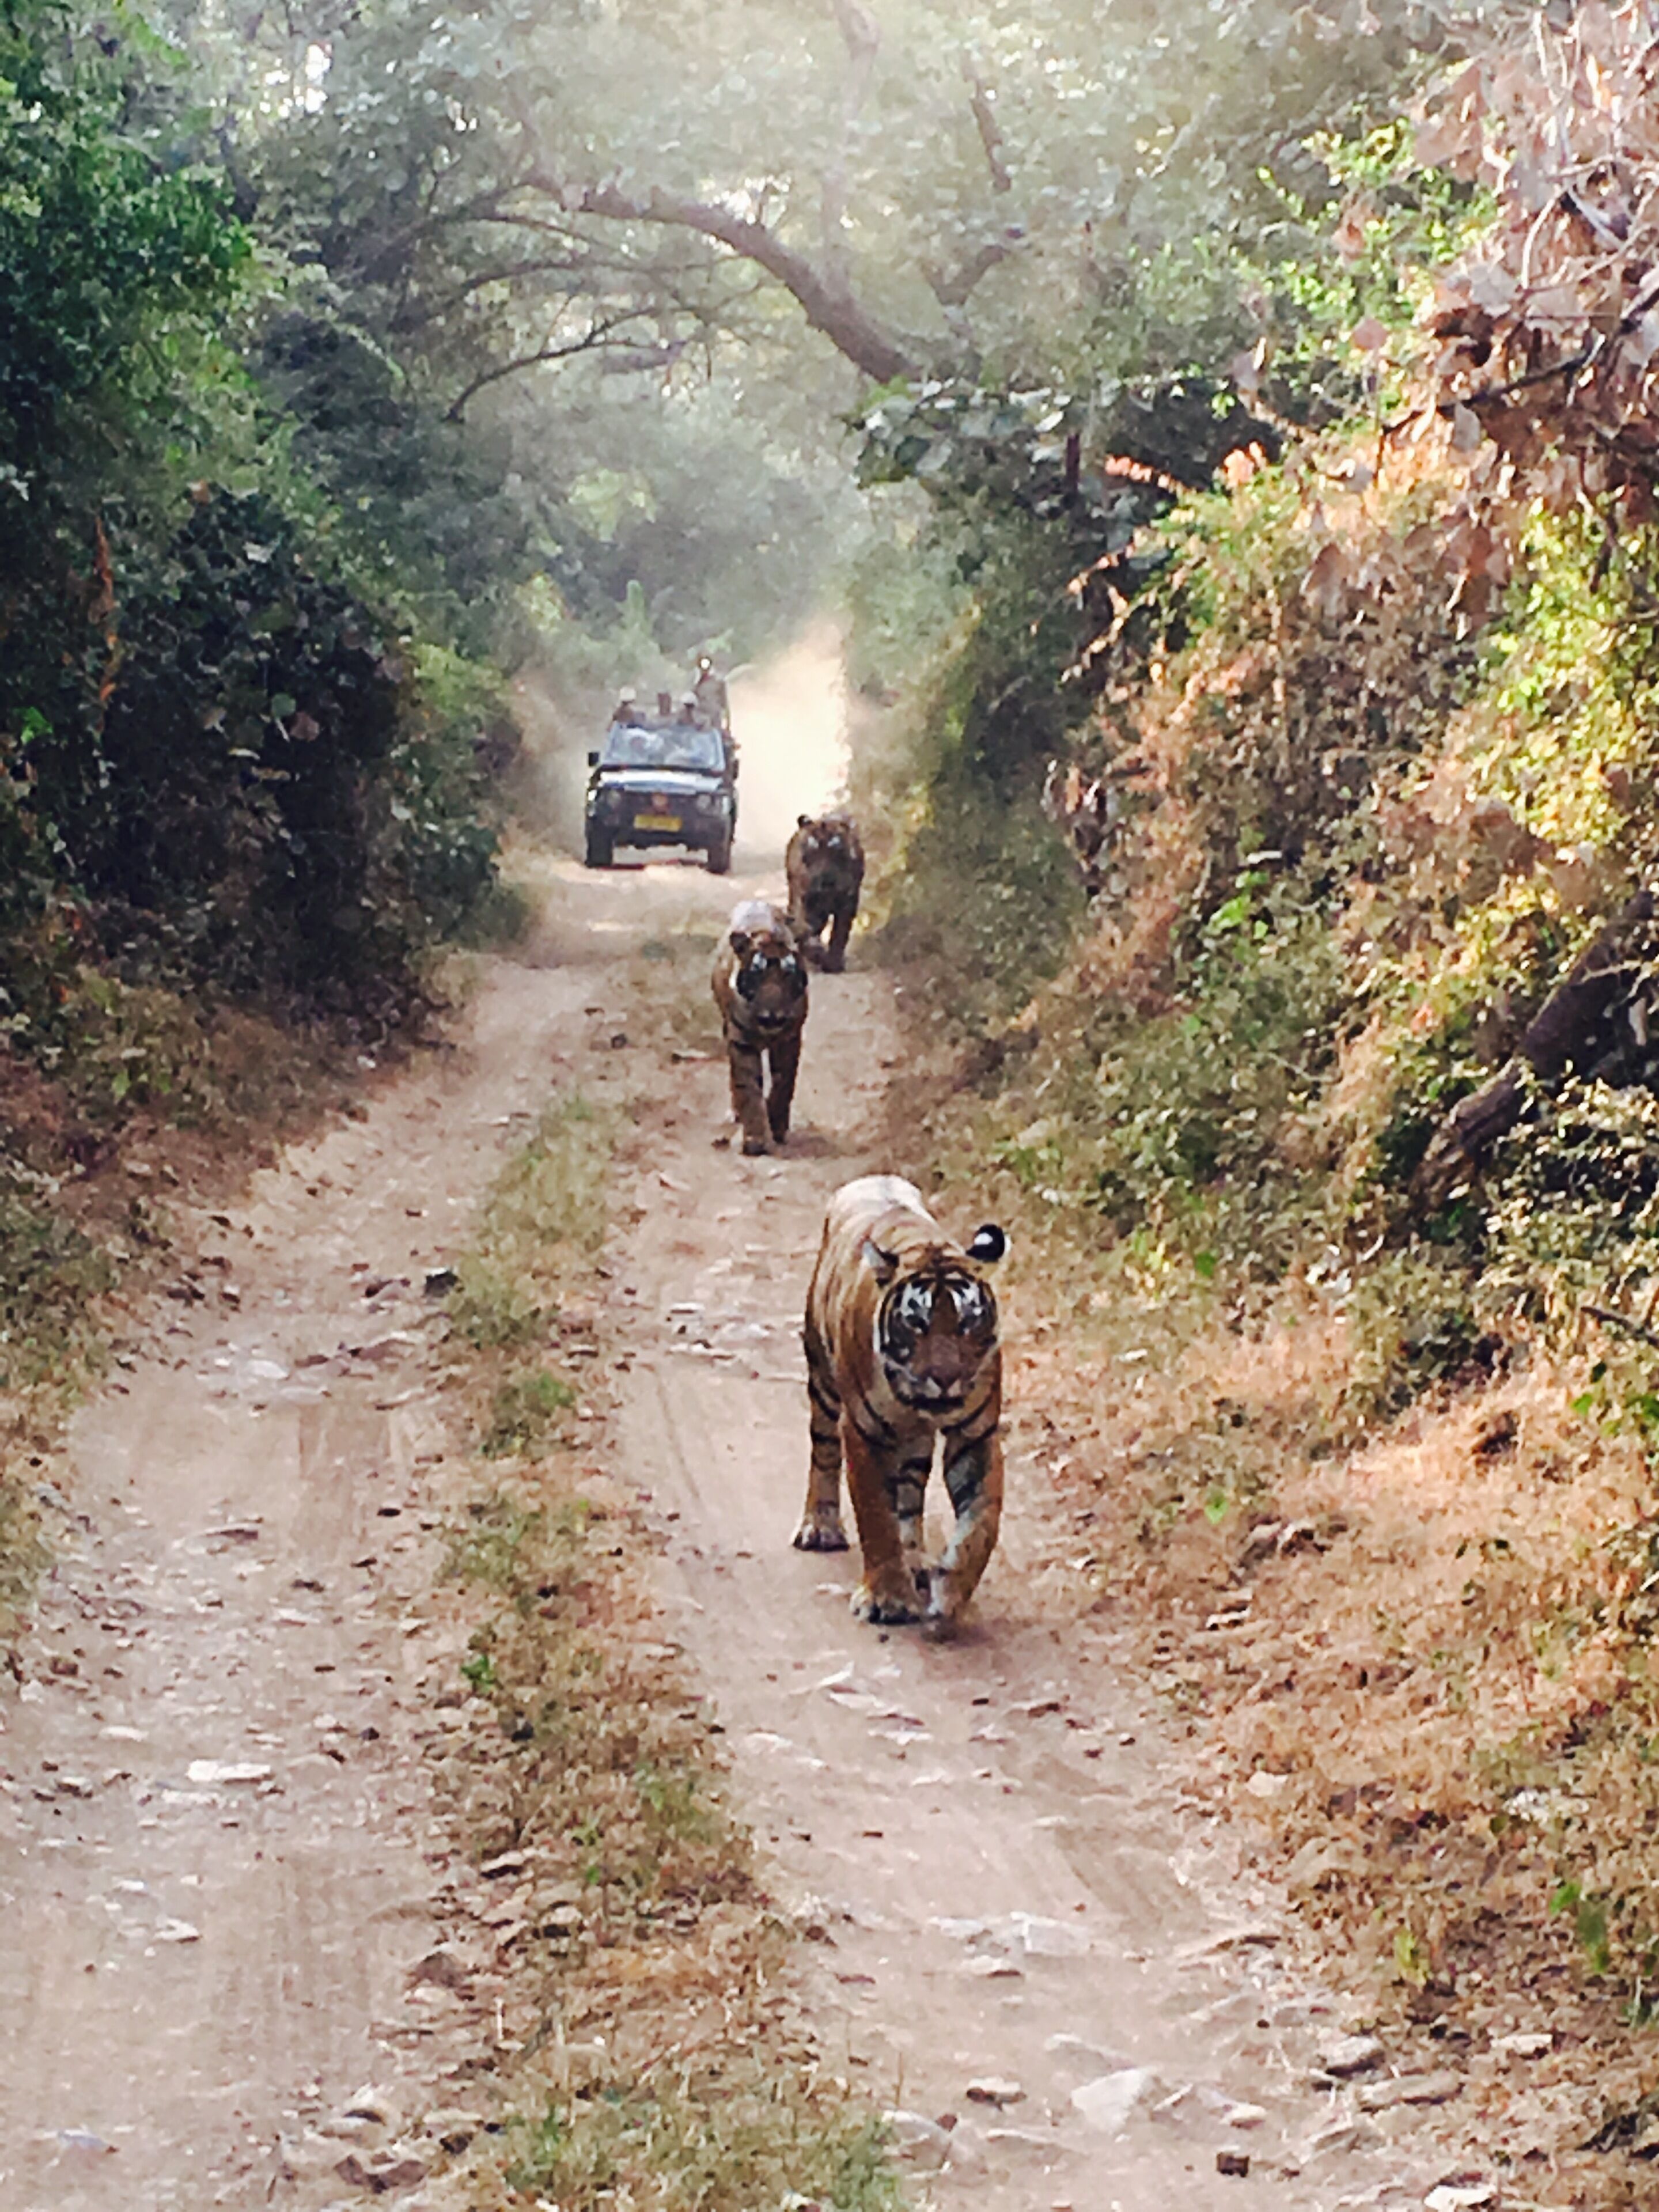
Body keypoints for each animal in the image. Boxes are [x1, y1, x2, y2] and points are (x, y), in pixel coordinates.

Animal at [710, 900, 809, 1156]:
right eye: (758, 975)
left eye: (787, 976)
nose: (771, 1019)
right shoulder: (740, 1042)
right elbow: (748, 1088)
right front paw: (755, 1140)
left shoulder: (789, 1040)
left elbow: (784, 1084)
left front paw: (777, 1126)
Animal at [785, 812, 865, 974]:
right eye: (808, 855)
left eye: (837, 853)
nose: (825, 881)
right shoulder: (806, 900)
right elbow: (806, 928)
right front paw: (816, 952)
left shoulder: (848, 903)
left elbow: (840, 933)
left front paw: (833, 964)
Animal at [795, 1174, 1007, 1638]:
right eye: (917, 1323)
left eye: (968, 1322)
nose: (945, 1378)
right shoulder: (862, 1430)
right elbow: (876, 1514)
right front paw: (887, 1600)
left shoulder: (977, 1433)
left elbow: (981, 1524)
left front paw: (951, 1595)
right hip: (822, 1379)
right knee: (822, 1450)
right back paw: (819, 1527)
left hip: (914, 1441)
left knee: (910, 1495)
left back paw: (915, 1560)